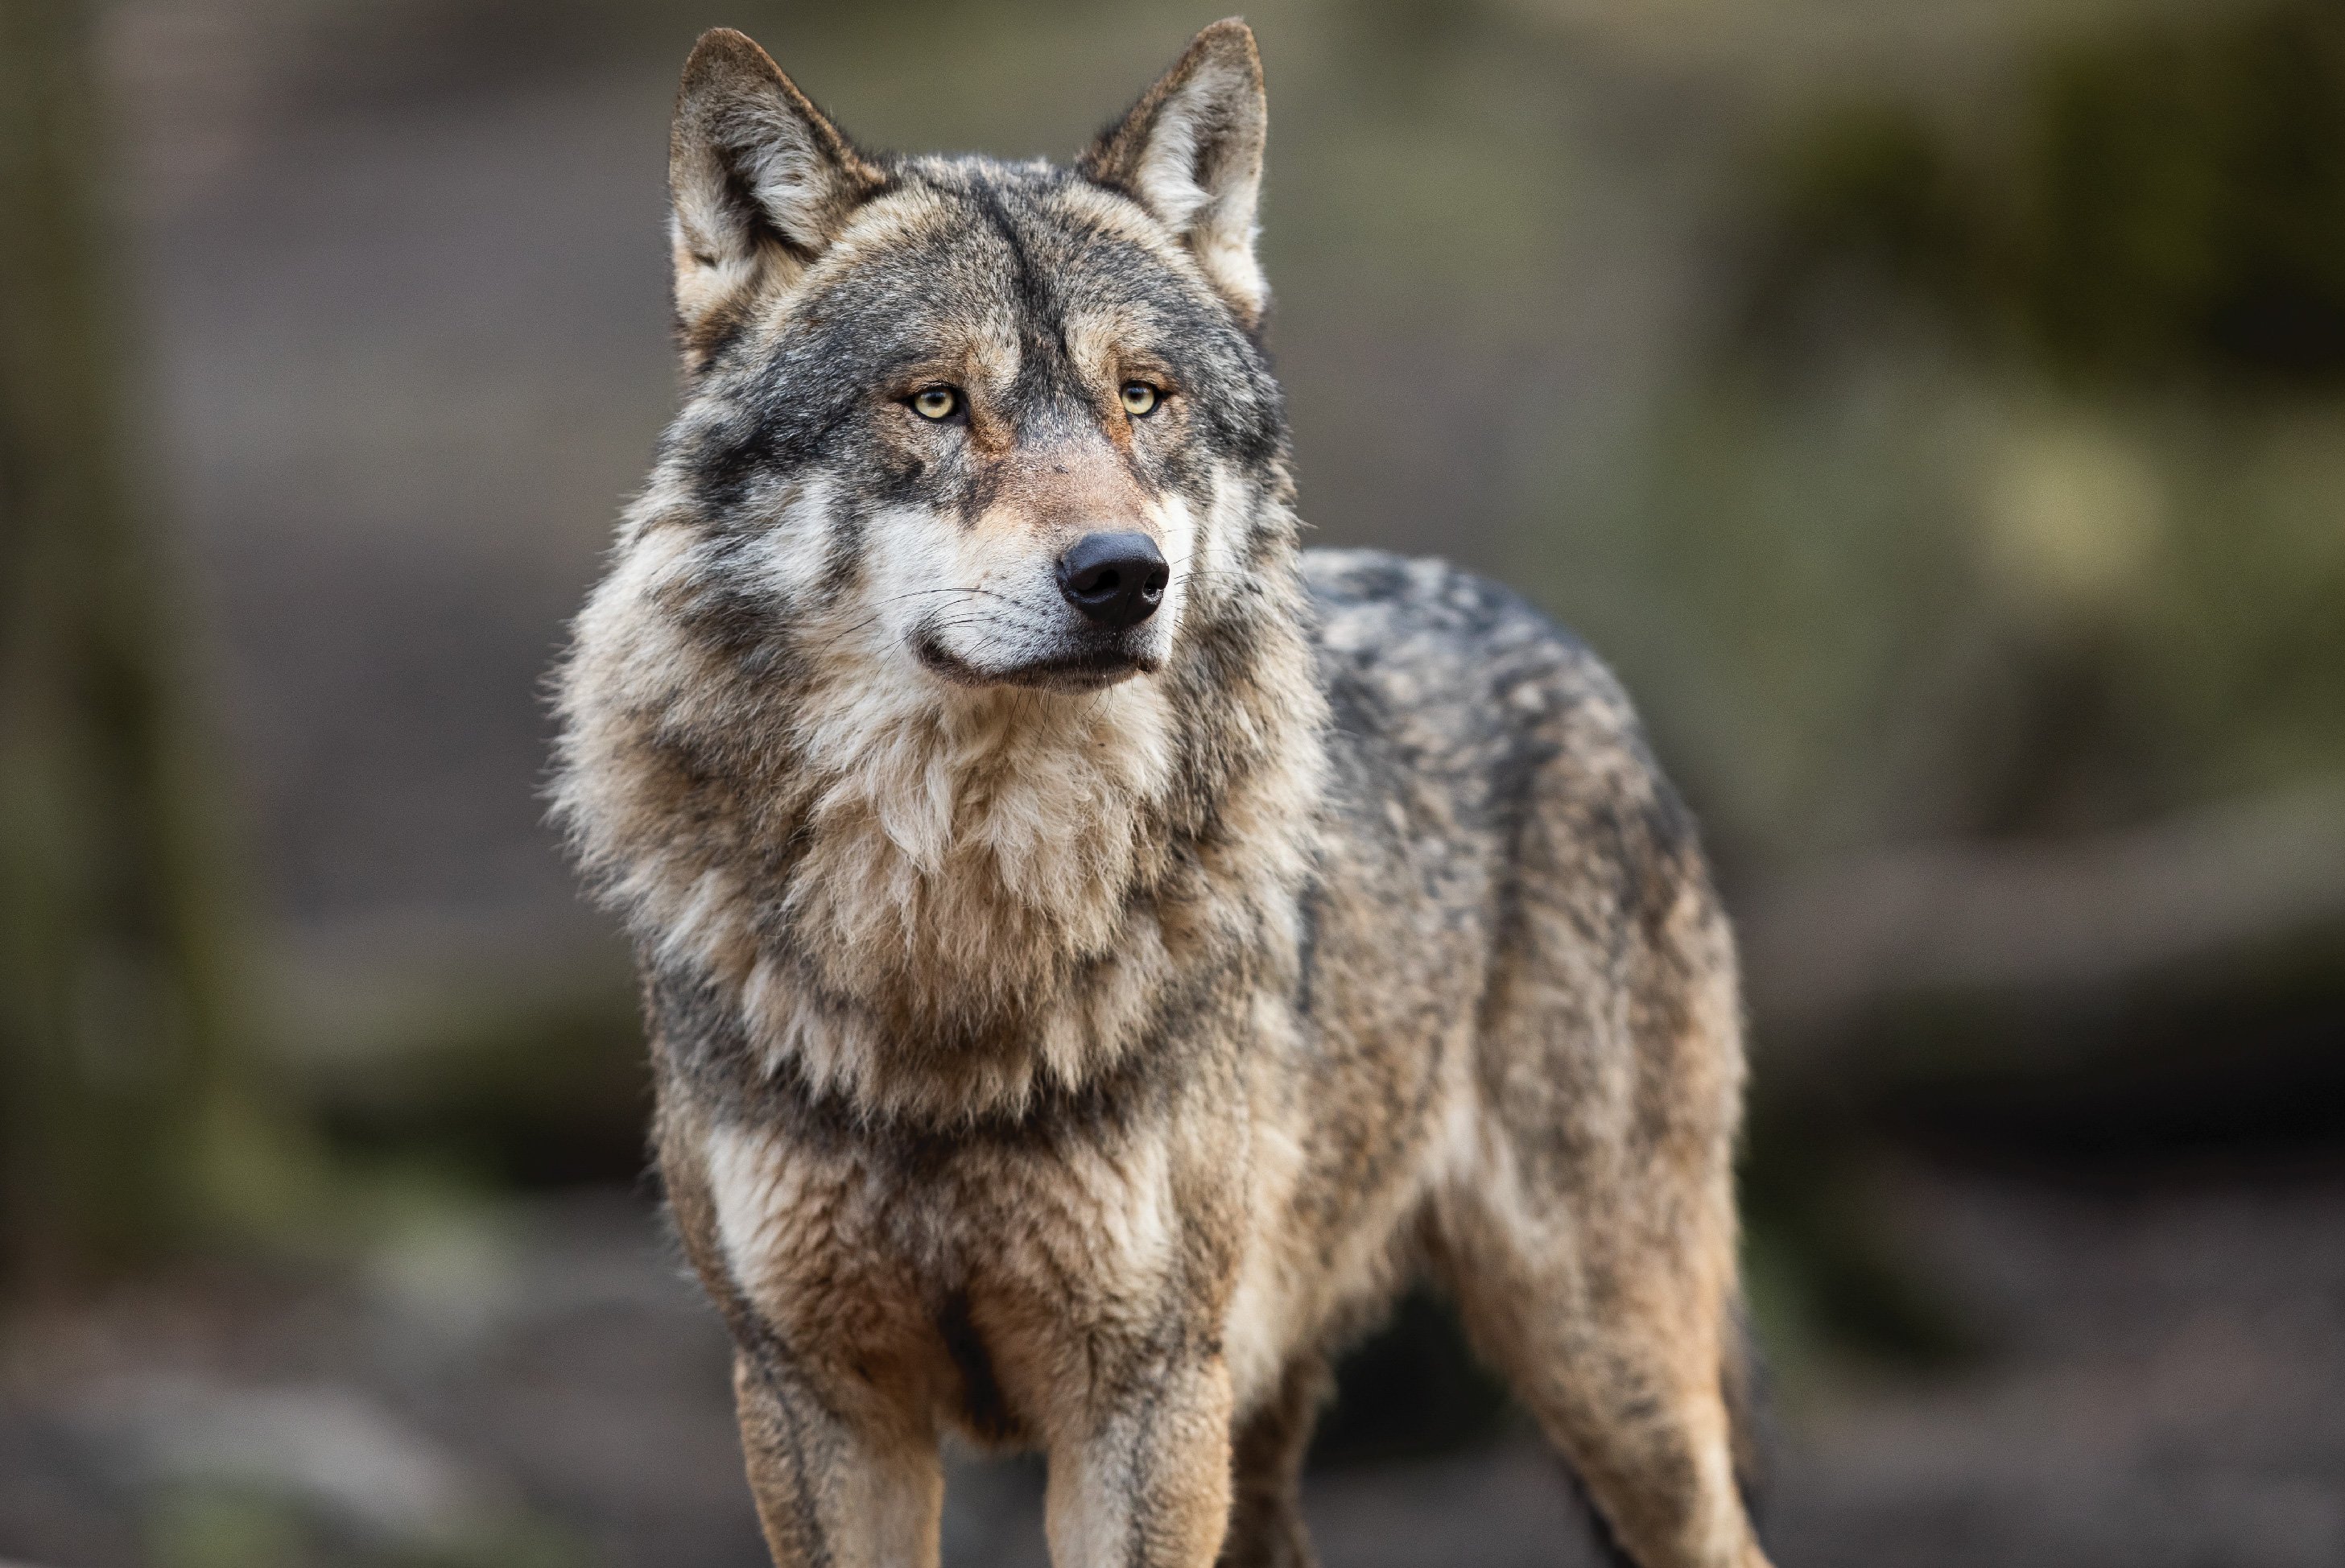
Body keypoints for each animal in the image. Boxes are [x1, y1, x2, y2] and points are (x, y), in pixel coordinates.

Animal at [543, 24, 1763, 1566]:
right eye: (936, 400)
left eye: (1141, 397)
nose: (1124, 575)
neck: (955, 937)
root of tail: (1554, 637)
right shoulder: (812, 1397)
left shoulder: (1140, 1395)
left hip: (1608, 1378)